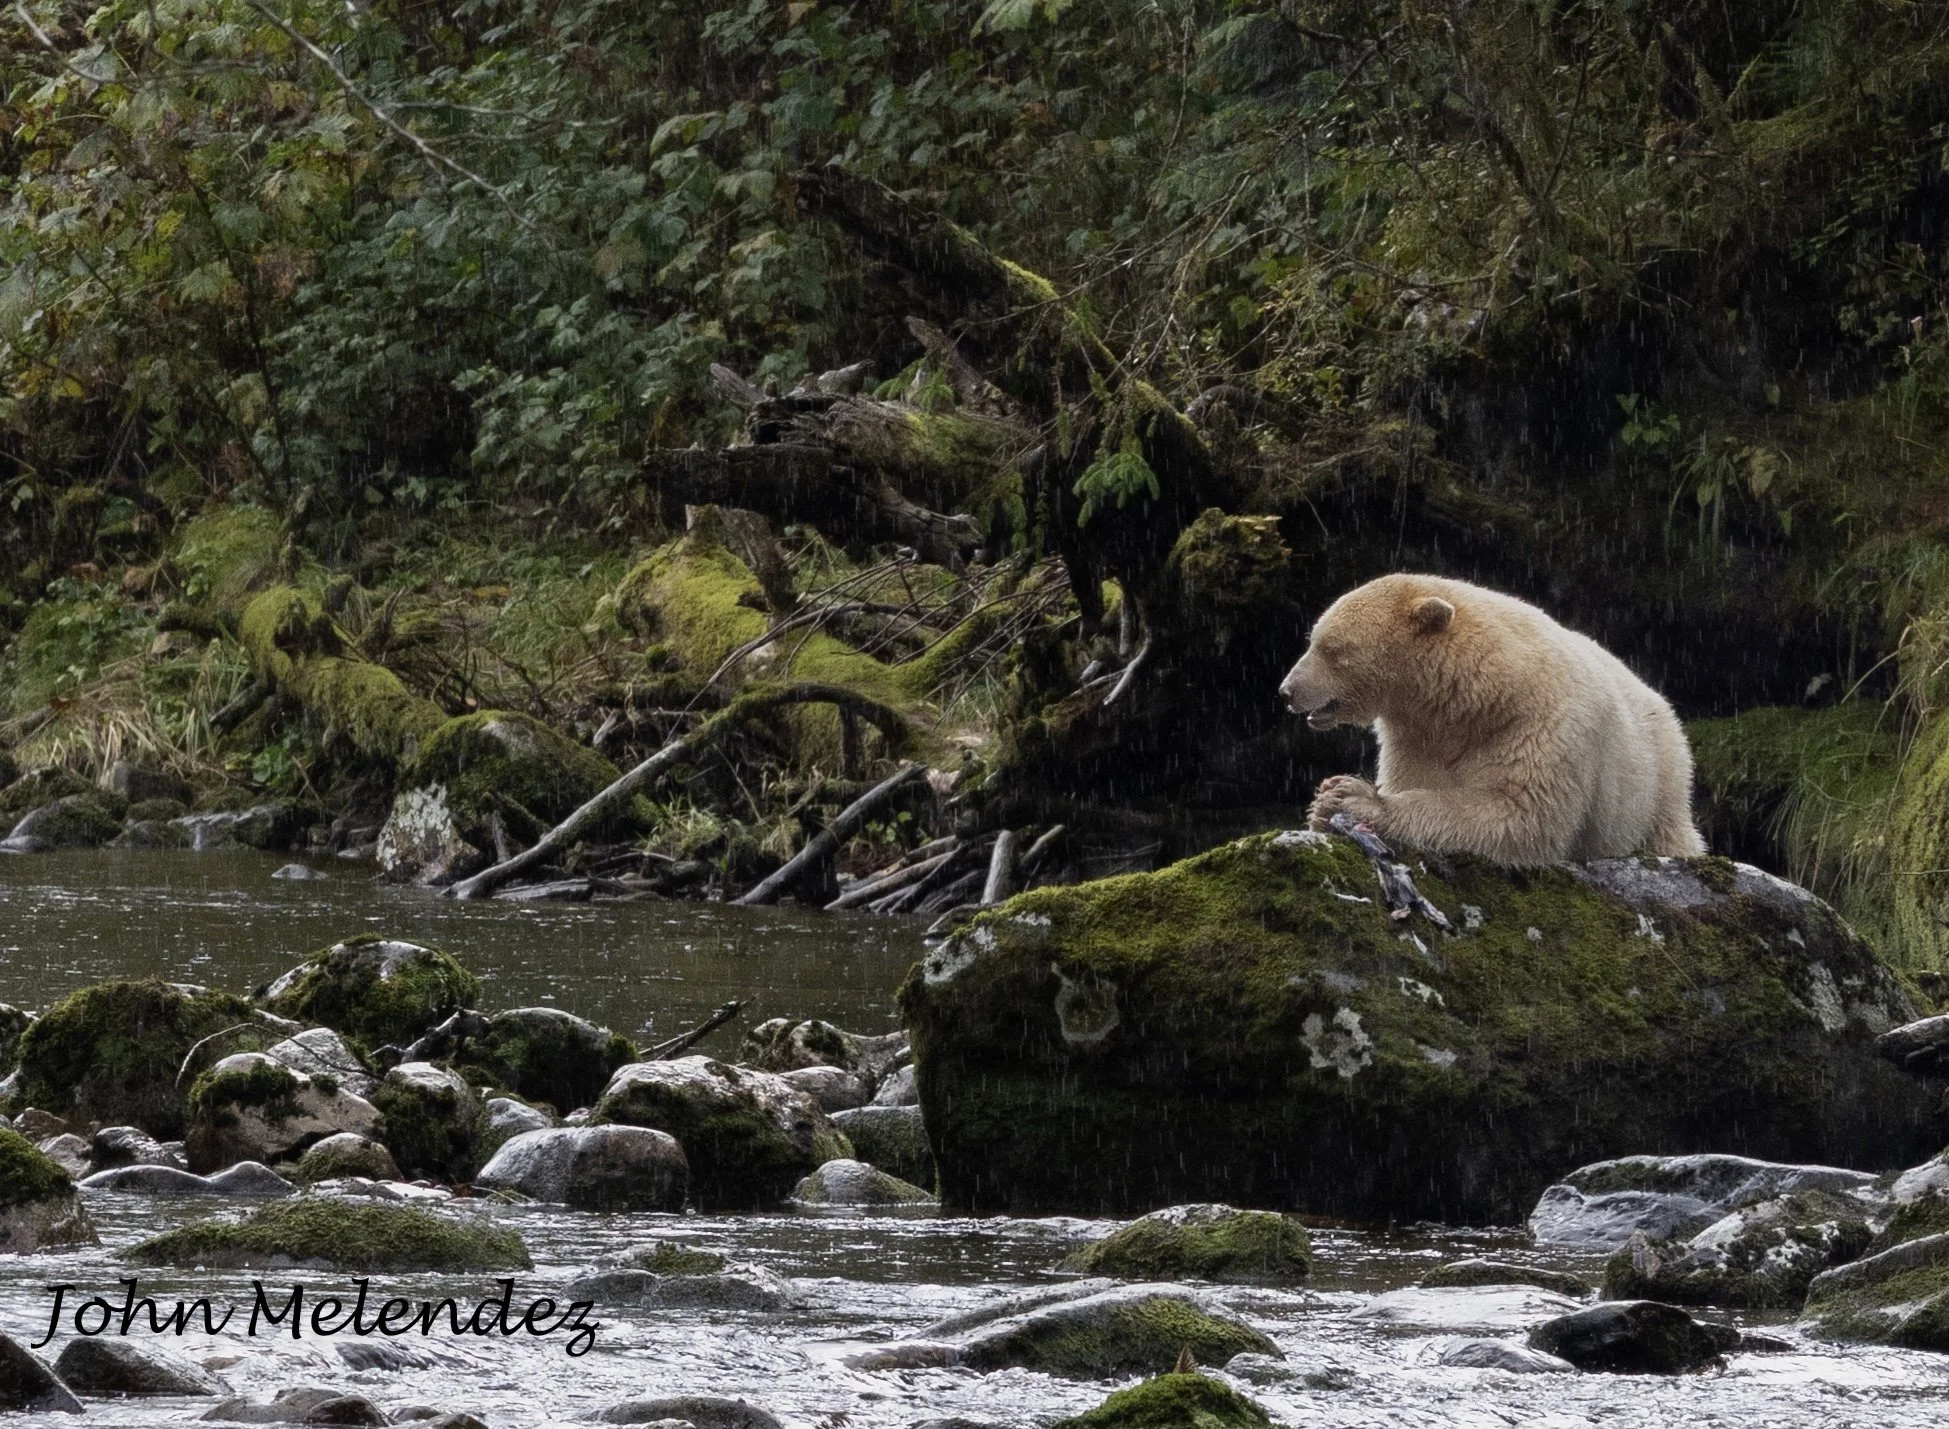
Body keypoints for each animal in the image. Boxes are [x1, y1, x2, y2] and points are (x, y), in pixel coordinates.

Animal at [1278, 573, 1705, 866]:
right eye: (1313, 639)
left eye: (1333, 648)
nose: (1287, 691)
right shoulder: (1416, 734)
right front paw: (1324, 805)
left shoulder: (1543, 725)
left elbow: (1517, 816)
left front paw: (1355, 797)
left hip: (1656, 786)